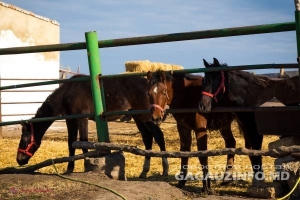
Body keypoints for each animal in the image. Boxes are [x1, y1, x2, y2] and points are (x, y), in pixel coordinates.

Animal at [16, 74, 169, 177]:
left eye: (25, 139)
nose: (19, 160)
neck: (68, 91)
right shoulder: (70, 120)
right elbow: (71, 143)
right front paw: (69, 168)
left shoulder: (82, 118)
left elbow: (83, 142)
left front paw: (86, 165)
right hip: (138, 117)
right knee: (147, 138)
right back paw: (144, 172)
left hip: (147, 116)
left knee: (159, 136)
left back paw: (165, 170)